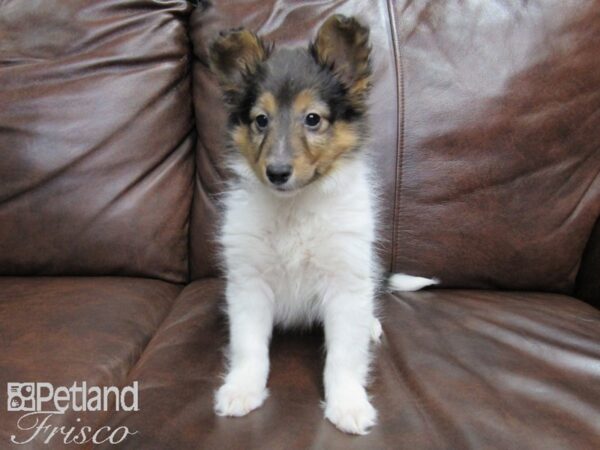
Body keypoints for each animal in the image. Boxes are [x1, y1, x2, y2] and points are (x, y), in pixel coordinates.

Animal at [209, 14, 438, 436]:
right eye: (260, 120)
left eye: (312, 119)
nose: (277, 172)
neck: (295, 207)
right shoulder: (249, 282)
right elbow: (249, 346)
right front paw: (241, 389)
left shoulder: (345, 281)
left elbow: (343, 356)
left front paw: (348, 403)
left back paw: (371, 325)